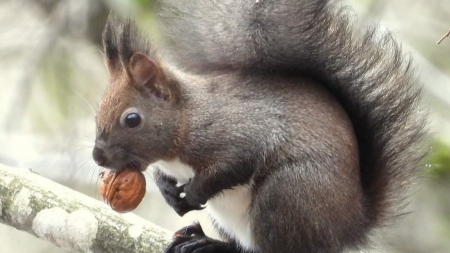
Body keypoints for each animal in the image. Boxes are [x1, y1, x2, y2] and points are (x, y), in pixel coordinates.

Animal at [92, 0, 428, 253]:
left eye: (132, 119)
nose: (98, 156)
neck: (187, 118)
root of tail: (350, 225)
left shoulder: (241, 133)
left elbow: (237, 162)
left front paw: (195, 191)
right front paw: (166, 189)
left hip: (288, 195)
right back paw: (205, 241)